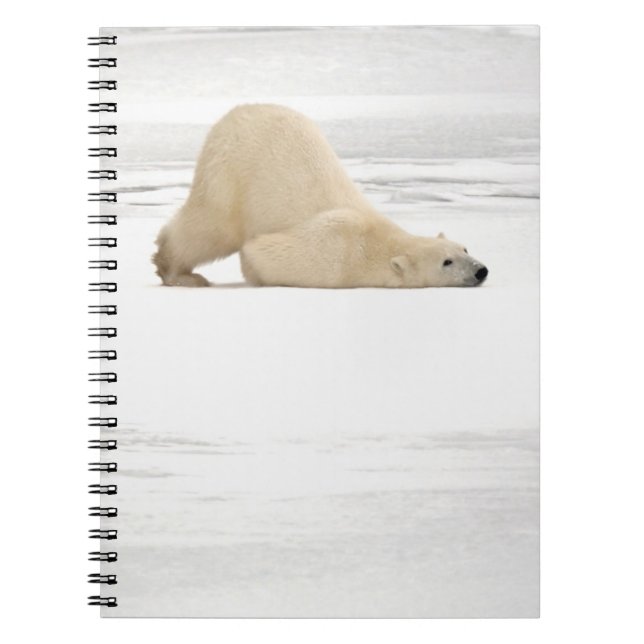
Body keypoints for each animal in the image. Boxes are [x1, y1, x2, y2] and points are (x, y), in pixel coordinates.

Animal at [152, 104, 488, 288]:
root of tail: (236, 112)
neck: (376, 240)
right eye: (446, 262)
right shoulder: (336, 251)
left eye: (465, 248)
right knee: (210, 227)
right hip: (230, 172)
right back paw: (178, 273)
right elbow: (260, 251)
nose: (481, 270)